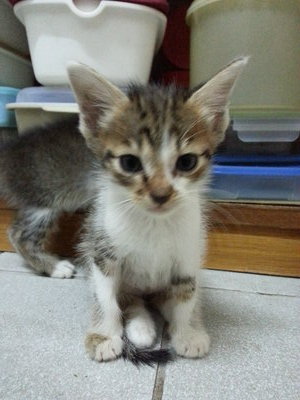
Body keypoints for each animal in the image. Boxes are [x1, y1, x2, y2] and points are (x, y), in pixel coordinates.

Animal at [0, 57, 248, 366]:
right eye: (130, 163)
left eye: (187, 162)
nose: (160, 194)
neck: (154, 224)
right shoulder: (101, 249)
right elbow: (105, 295)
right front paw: (103, 336)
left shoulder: (188, 254)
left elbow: (187, 292)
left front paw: (188, 332)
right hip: (48, 197)